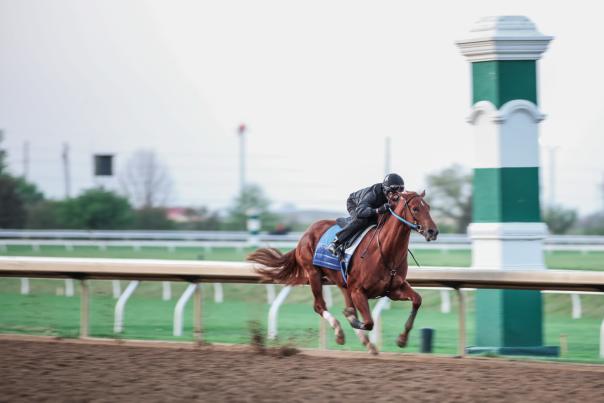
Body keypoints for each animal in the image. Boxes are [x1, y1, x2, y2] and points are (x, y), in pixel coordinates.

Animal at [247, 191, 438, 356]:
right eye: (415, 208)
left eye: (428, 207)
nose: (433, 231)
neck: (385, 250)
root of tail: (306, 233)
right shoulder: (358, 291)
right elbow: (367, 322)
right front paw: (351, 321)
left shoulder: (393, 290)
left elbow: (417, 300)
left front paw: (402, 339)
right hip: (314, 274)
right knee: (319, 306)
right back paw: (339, 332)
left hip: (341, 282)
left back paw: (367, 343)